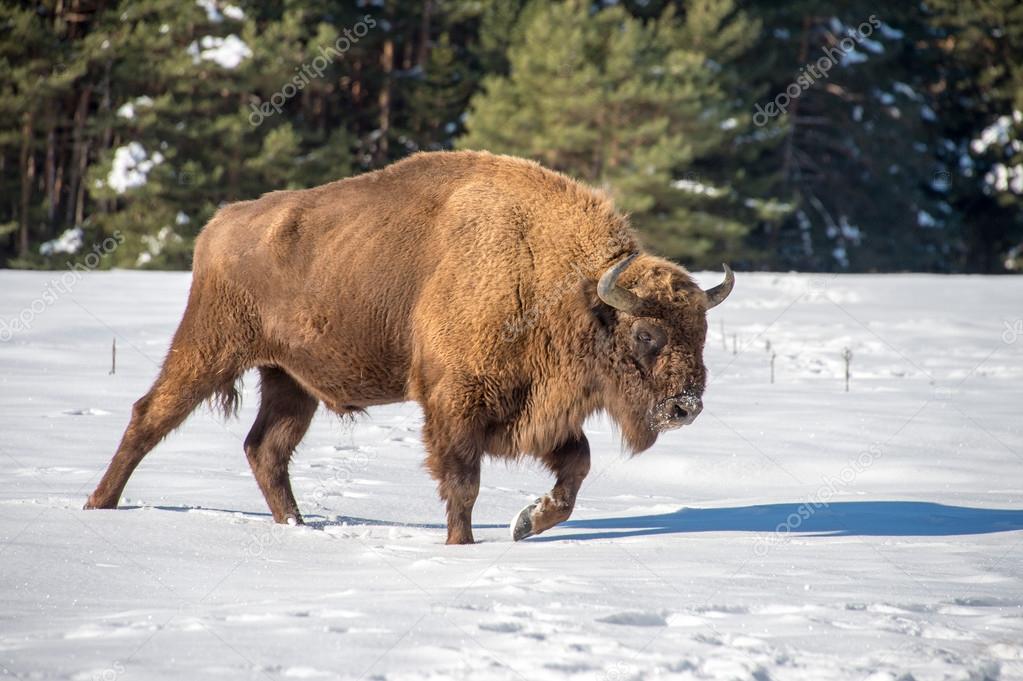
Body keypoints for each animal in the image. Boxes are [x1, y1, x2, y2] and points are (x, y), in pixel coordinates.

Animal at [83, 150, 732, 539]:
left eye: (702, 334)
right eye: (647, 334)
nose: (687, 406)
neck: (565, 286)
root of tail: (219, 225)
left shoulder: (542, 411)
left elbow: (576, 466)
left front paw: (526, 523)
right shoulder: (454, 404)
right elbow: (463, 482)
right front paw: (462, 545)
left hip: (289, 381)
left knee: (265, 448)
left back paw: (298, 526)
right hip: (209, 349)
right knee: (149, 416)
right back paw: (98, 506)